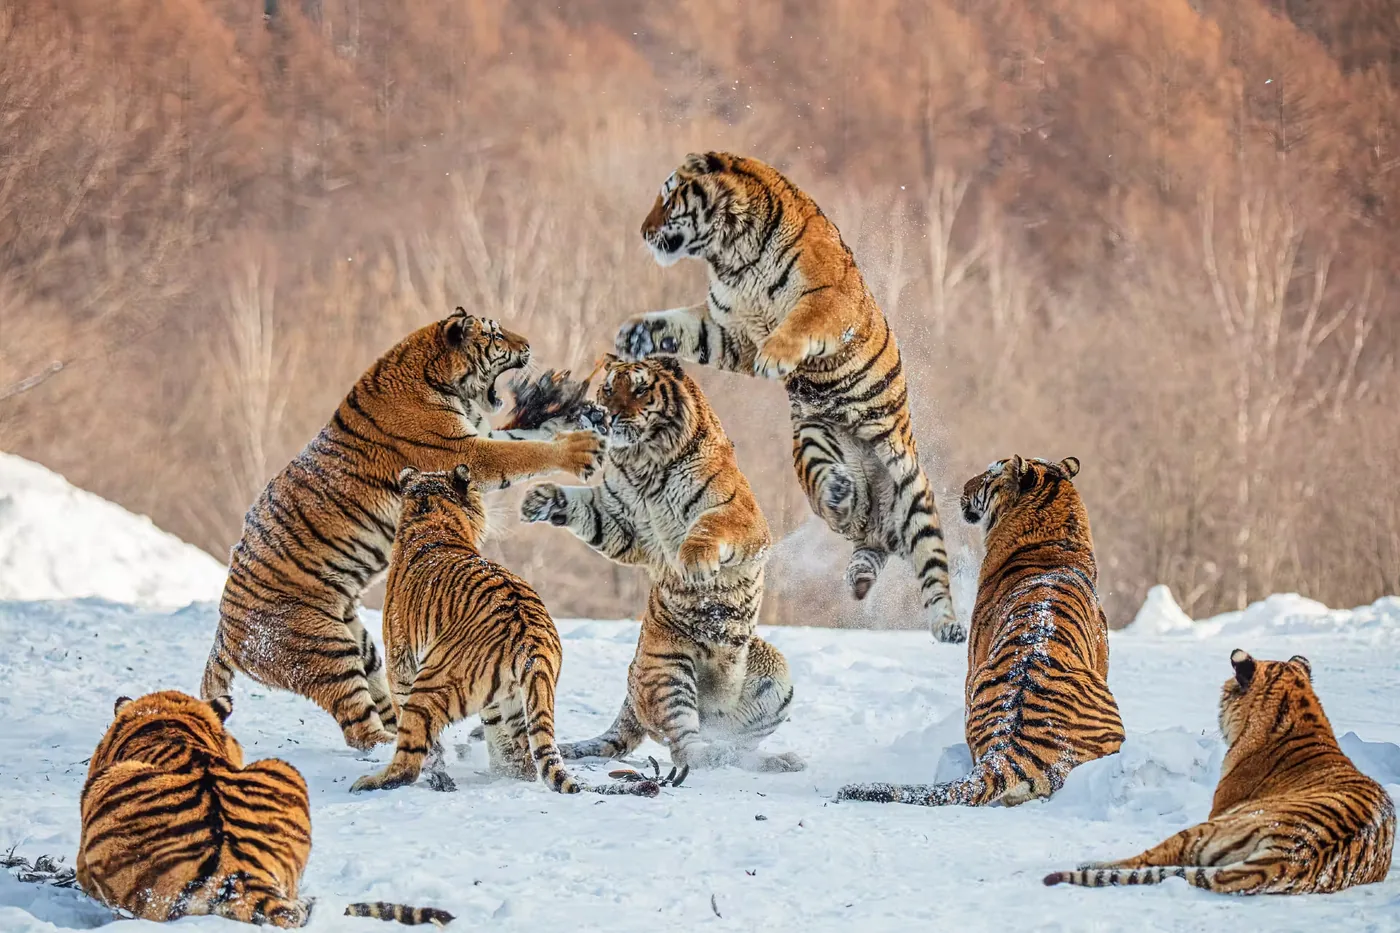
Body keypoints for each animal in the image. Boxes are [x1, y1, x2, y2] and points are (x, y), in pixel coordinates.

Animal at [200, 308, 605, 751]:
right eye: (496, 334)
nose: (528, 344)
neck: (437, 379)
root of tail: (224, 633)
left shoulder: (474, 438)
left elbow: (520, 435)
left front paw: (565, 415)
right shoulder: (468, 451)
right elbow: (522, 452)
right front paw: (580, 449)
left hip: (361, 643)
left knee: (380, 695)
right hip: (324, 647)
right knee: (357, 726)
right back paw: (387, 745)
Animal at [348, 464, 660, 797]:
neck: (431, 517)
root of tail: (532, 639)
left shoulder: (401, 664)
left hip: (430, 686)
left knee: (408, 762)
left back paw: (371, 782)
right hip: (520, 698)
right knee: (526, 758)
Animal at [520, 357, 804, 773]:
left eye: (639, 389)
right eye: (608, 388)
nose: (607, 415)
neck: (646, 464)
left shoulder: (734, 513)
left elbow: (707, 528)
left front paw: (695, 561)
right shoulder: (618, 519)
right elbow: (584, 508)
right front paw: (540, 497)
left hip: (774, 672)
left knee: (729, 746)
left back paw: (775, 759)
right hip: (667, 669)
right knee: (684, 742)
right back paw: (725, 754)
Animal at [615, 151, 963, 643]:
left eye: (668, 197)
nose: (644, 231)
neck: (732, 255)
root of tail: (875, 526)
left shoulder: (828, 299)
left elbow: (801, 322)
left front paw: (775, 357)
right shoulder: (728, 329)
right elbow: (681, 325)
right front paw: (636, 333)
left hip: (913, 490)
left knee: (932, 571)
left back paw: (948, 626)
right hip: (813, 438)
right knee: (839, 508)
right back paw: (841, 496)